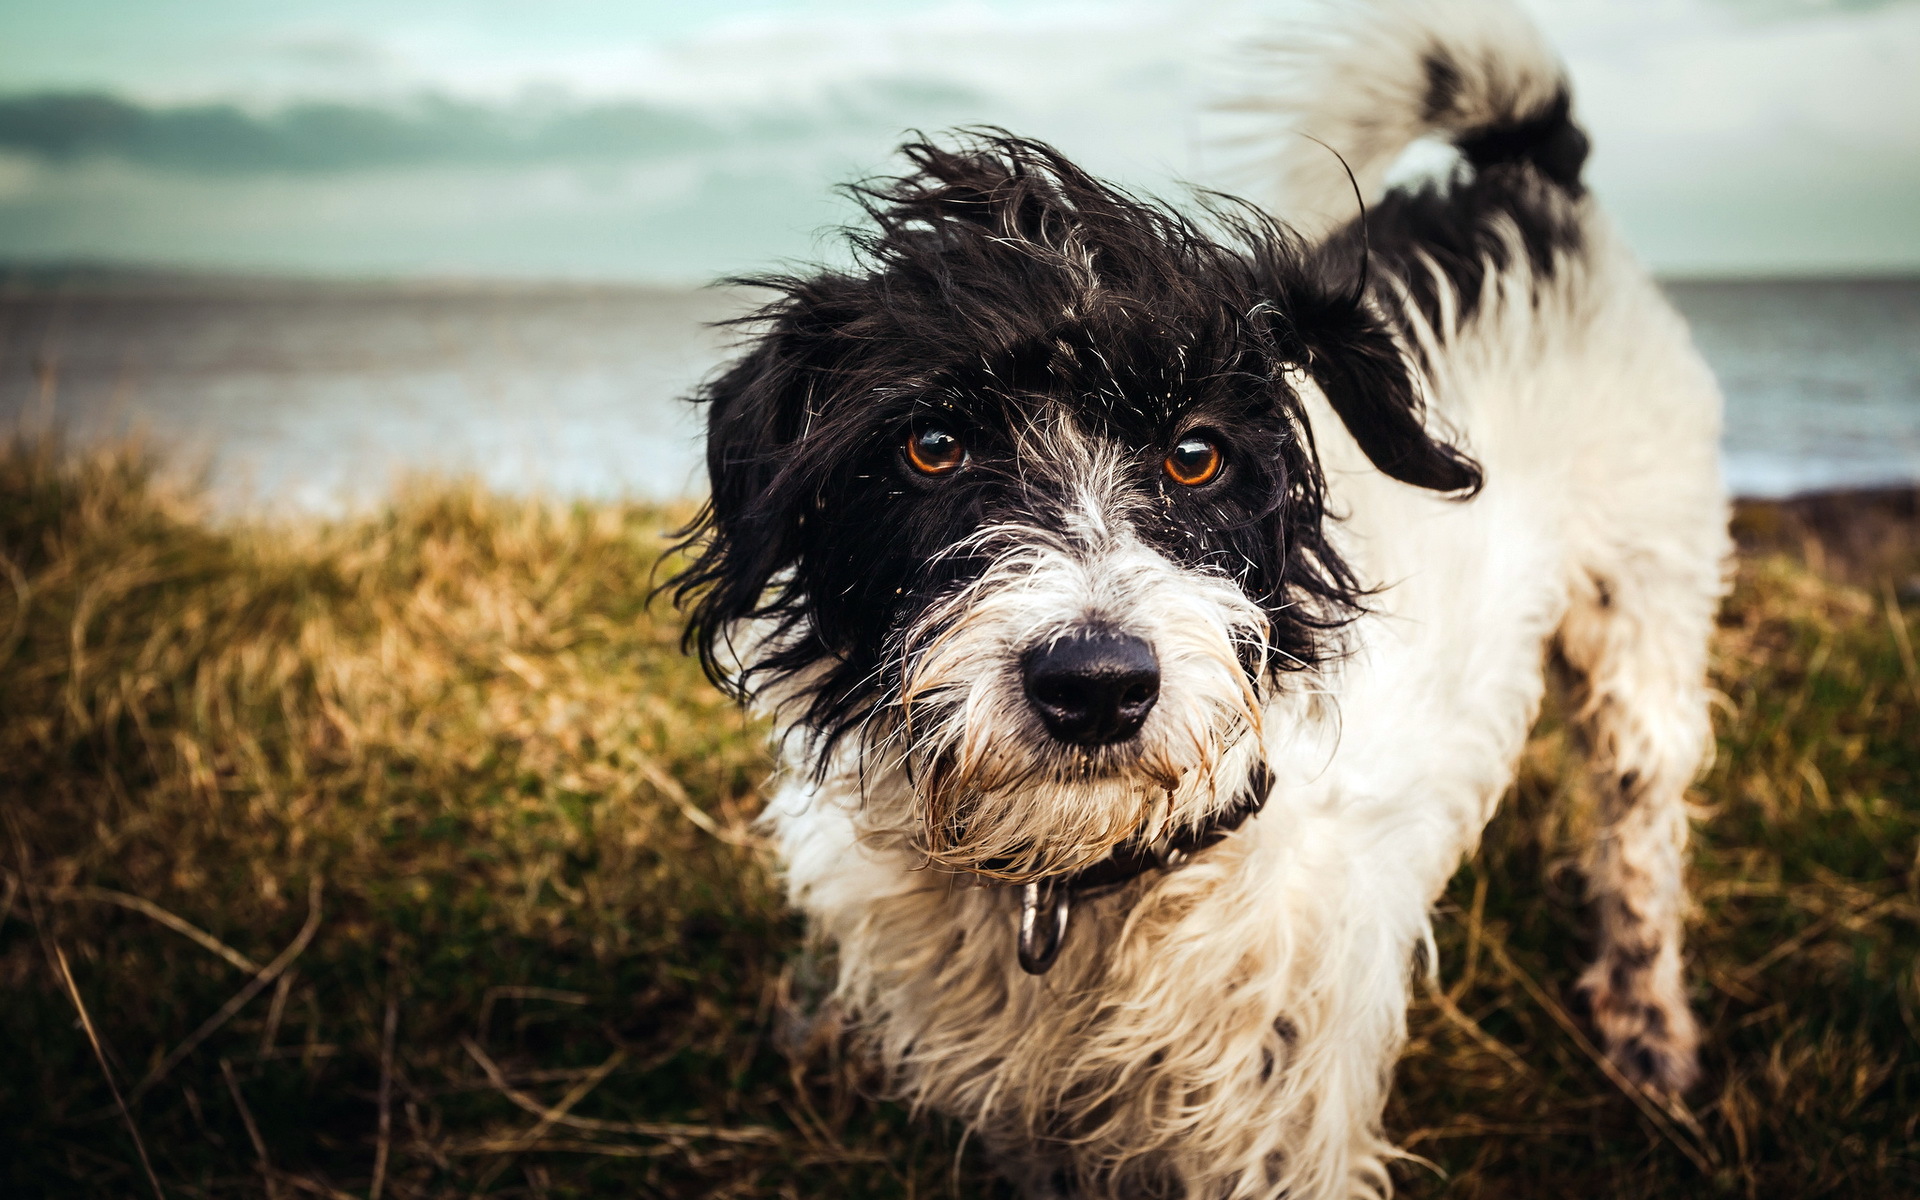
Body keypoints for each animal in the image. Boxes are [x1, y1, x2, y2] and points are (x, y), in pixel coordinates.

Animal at [672, 2, 1728, 1190]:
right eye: (931, 445)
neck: (1078, 879)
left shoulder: (1281, 1123)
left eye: (1195, 456)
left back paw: (1648, 1027)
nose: (1095, 685)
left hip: (1646, 612)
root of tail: (1527, 180)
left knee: (1641, 822)